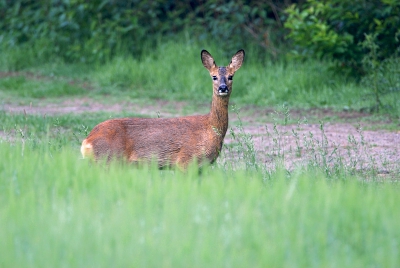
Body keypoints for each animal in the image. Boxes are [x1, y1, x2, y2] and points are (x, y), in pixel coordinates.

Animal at [81, 49, 244, 169]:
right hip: (109, 160)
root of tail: (86, 141)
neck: (210, 129)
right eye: (214, 76)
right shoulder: (185, 161)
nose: (223, 88)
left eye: (231, 76)